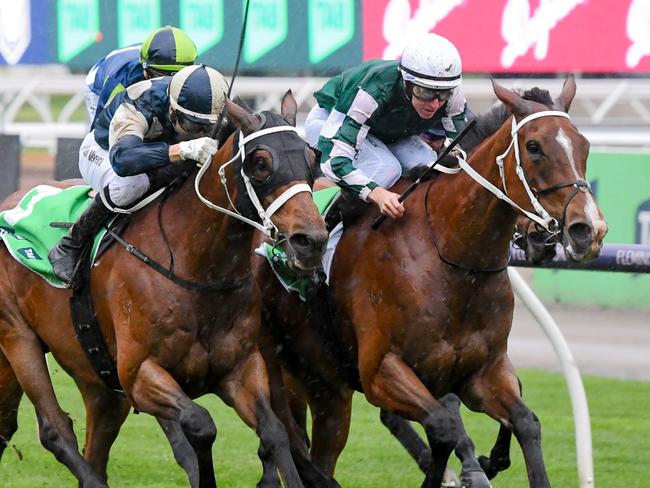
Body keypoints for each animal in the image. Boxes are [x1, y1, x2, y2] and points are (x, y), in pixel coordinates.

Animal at [0, 93, 330, 486]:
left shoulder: (241, 368)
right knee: (54, 428)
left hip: (95, 377)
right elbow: (201, 425)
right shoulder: (139, 375)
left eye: (312, 157)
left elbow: (275, 432)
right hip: (19, 337)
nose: (310, 241)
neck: (197, 270)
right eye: (261, 162)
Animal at [256, 76, 604, 488]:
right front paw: (471, 467)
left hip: (325, 386)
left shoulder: (481, 371)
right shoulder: (381, 372)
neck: (451, 257)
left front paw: (488, 461)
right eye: (533, 147)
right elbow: (443, 425)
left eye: (583, 144)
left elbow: (525, 421)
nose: (589, 230)